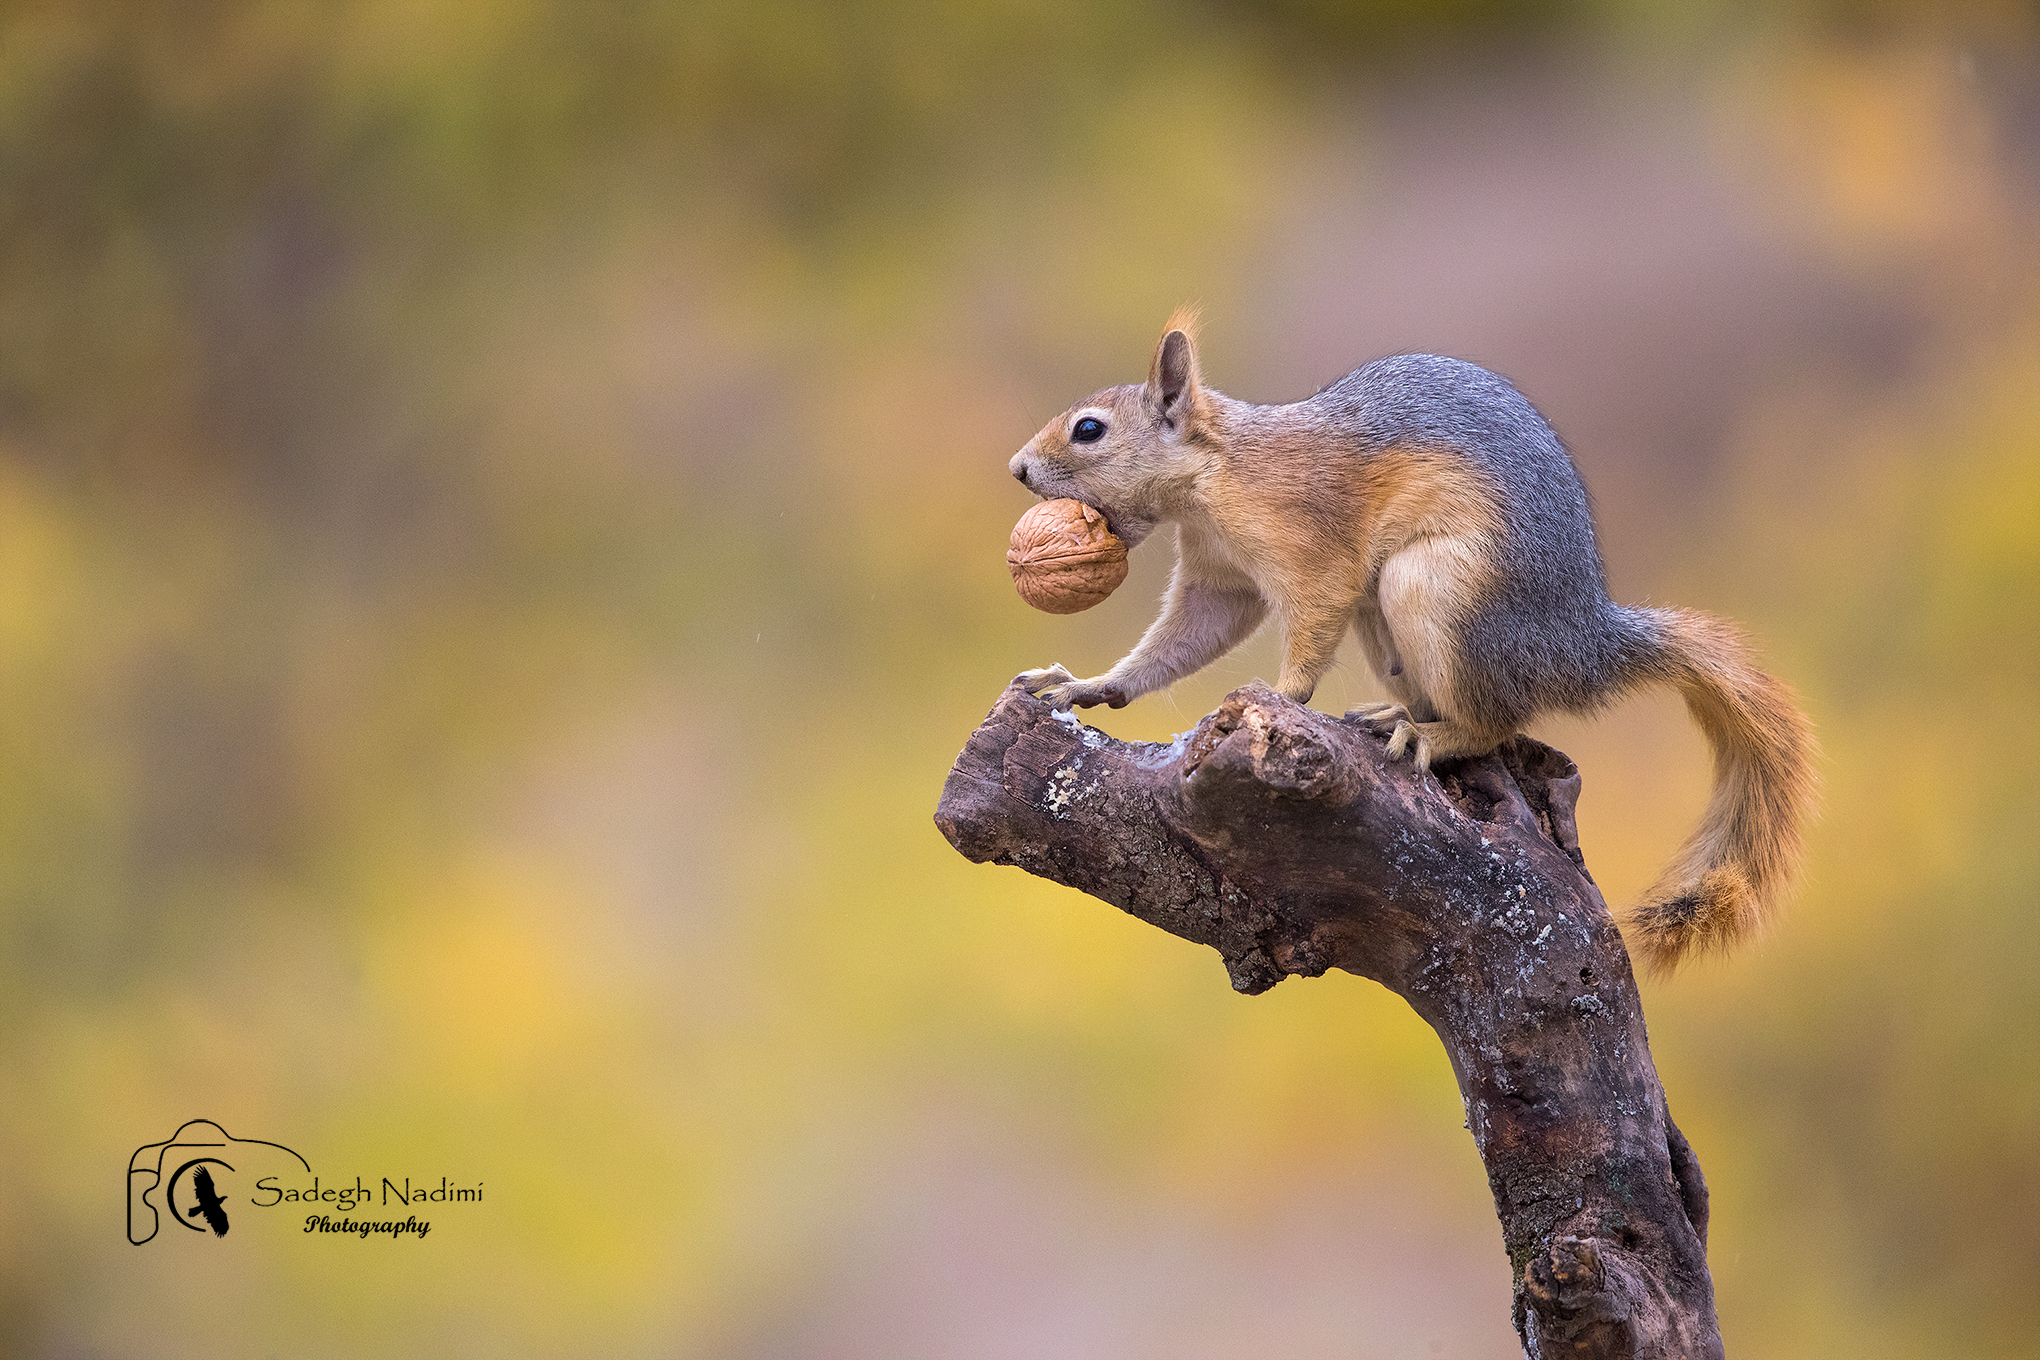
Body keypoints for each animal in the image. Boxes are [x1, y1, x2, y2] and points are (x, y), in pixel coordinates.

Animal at [1010, 311, 1817, 974]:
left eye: (1089, 430)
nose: (1017, 469)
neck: (1219, 471)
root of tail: (1577, 650)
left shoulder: (1313, 551)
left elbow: (1310, 627)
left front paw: (1277, 697)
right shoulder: (1219, 577)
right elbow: (1186, 637)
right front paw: (1091, 685)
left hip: (1431, 589)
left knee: (1498, 721)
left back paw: (1435, 736)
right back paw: (1397, 717)